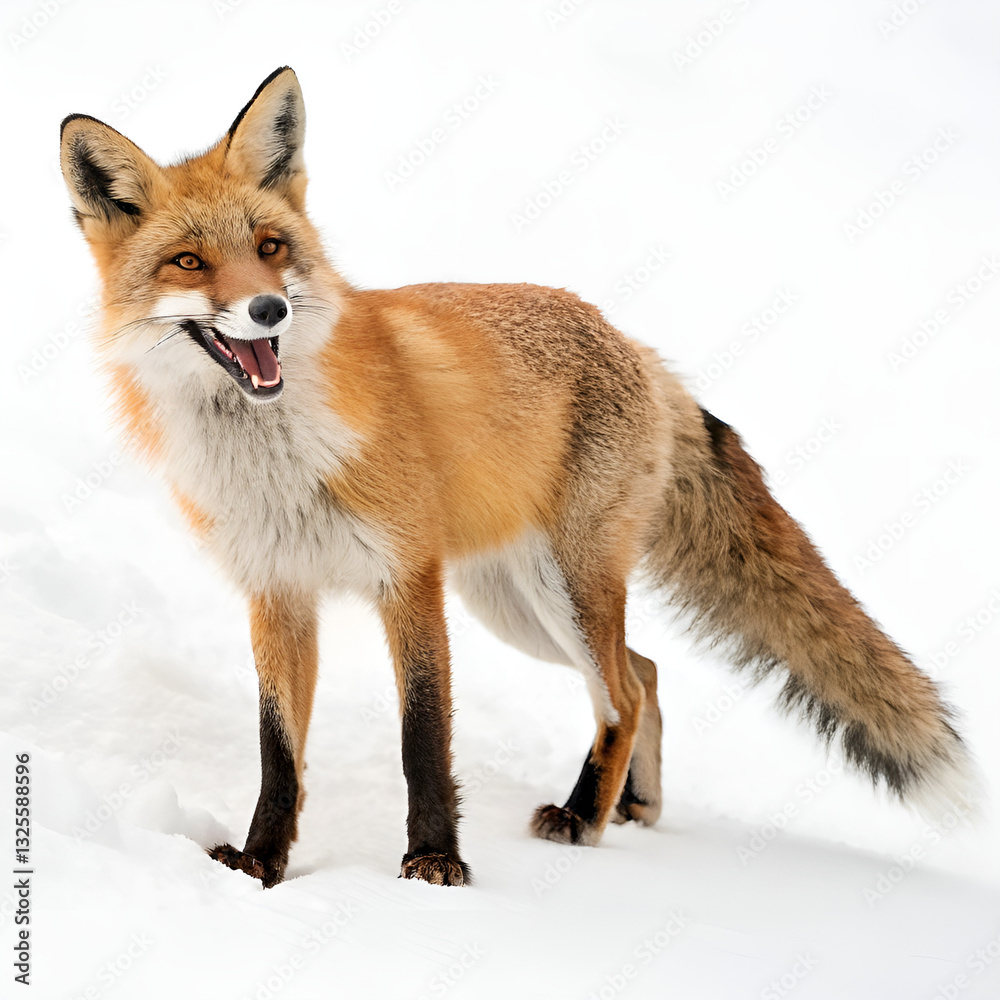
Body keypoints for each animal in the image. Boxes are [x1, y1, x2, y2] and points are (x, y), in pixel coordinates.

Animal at [60, 66, 975, 888]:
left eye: (271, 249)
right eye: (189, 262)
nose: (268, 310)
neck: (277, 457)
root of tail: (635, 345)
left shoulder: (410, 578)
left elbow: (423, 736)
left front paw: (434, 863)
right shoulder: (277, 593)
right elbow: (277, 752)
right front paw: (260, 865)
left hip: (561, 590)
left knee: (622, 692)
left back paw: (583, 817)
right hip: (515, 606)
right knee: (645, 672)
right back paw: (631, 805)